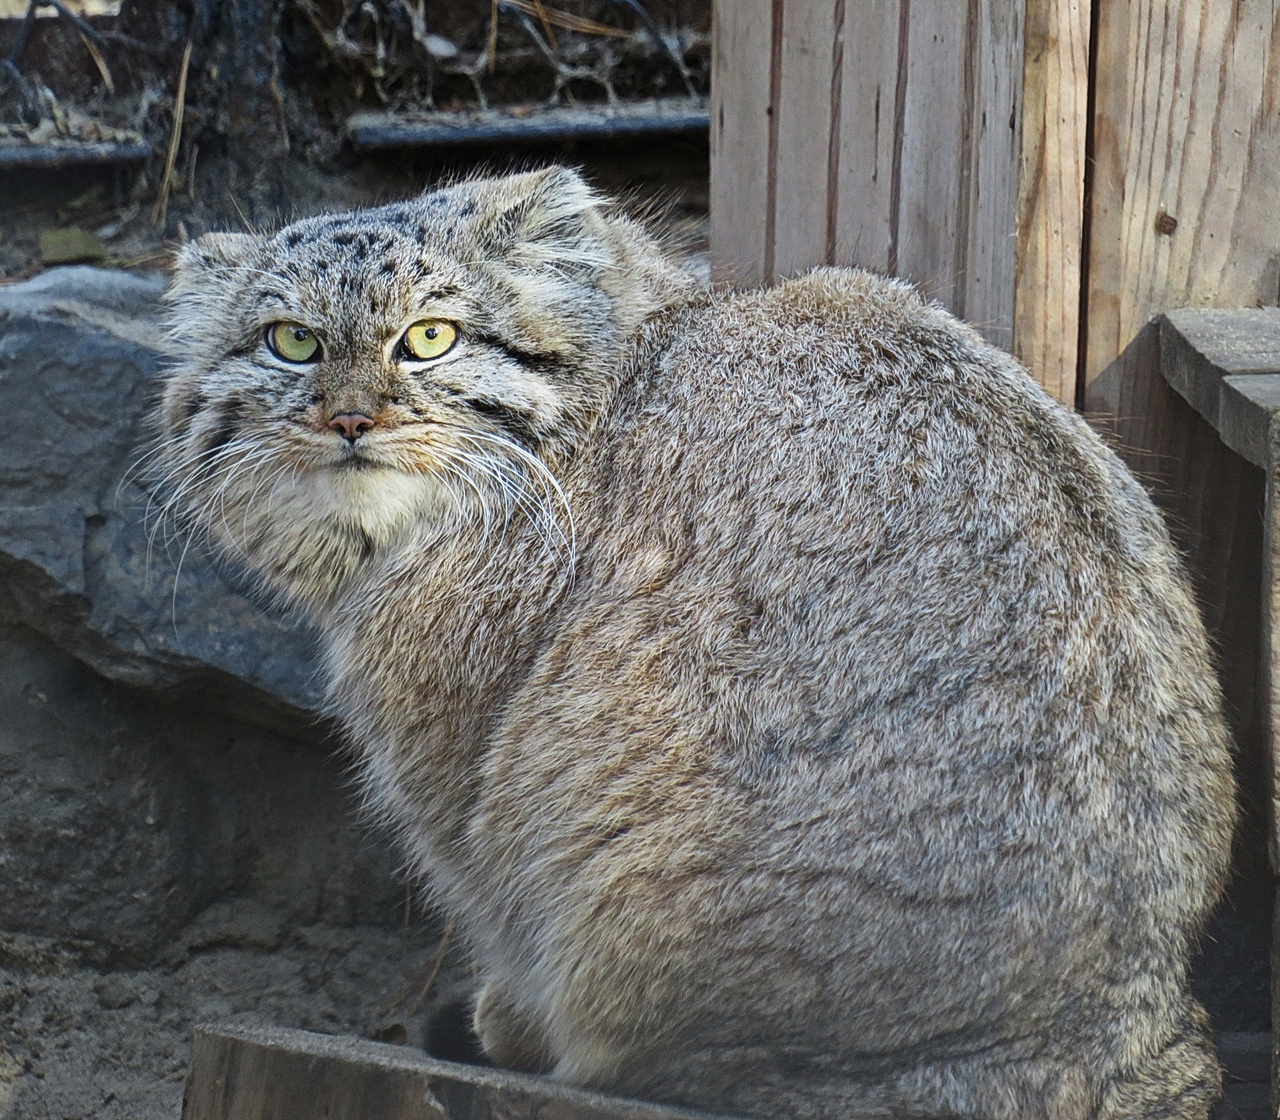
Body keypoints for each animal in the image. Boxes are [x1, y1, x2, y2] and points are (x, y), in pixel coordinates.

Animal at [154, 168, 1233, 1120]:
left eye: (429, 337)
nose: (349, 420)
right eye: (291, 342)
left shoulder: (460, 761)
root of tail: (1118, 1038)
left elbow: (489, 890)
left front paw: (508, 1015)